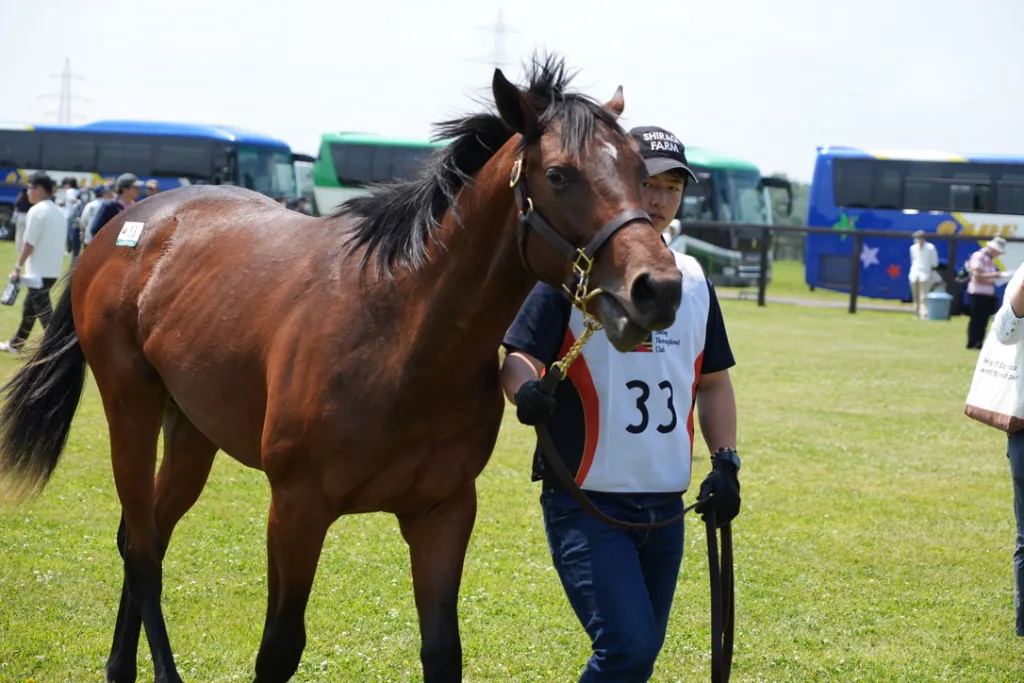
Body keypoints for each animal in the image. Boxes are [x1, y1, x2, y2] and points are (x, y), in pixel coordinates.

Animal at [0, 54, 683, 683]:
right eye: (560, 174)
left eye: (636, 171)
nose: (657, 288)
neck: (402, 339)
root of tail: (127, 223)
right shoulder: (297, 509)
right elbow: (279, 649)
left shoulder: (443, 514)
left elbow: (443, 652)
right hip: (131, 409)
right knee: (142, 551)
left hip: (192, 430)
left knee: (144, 535)